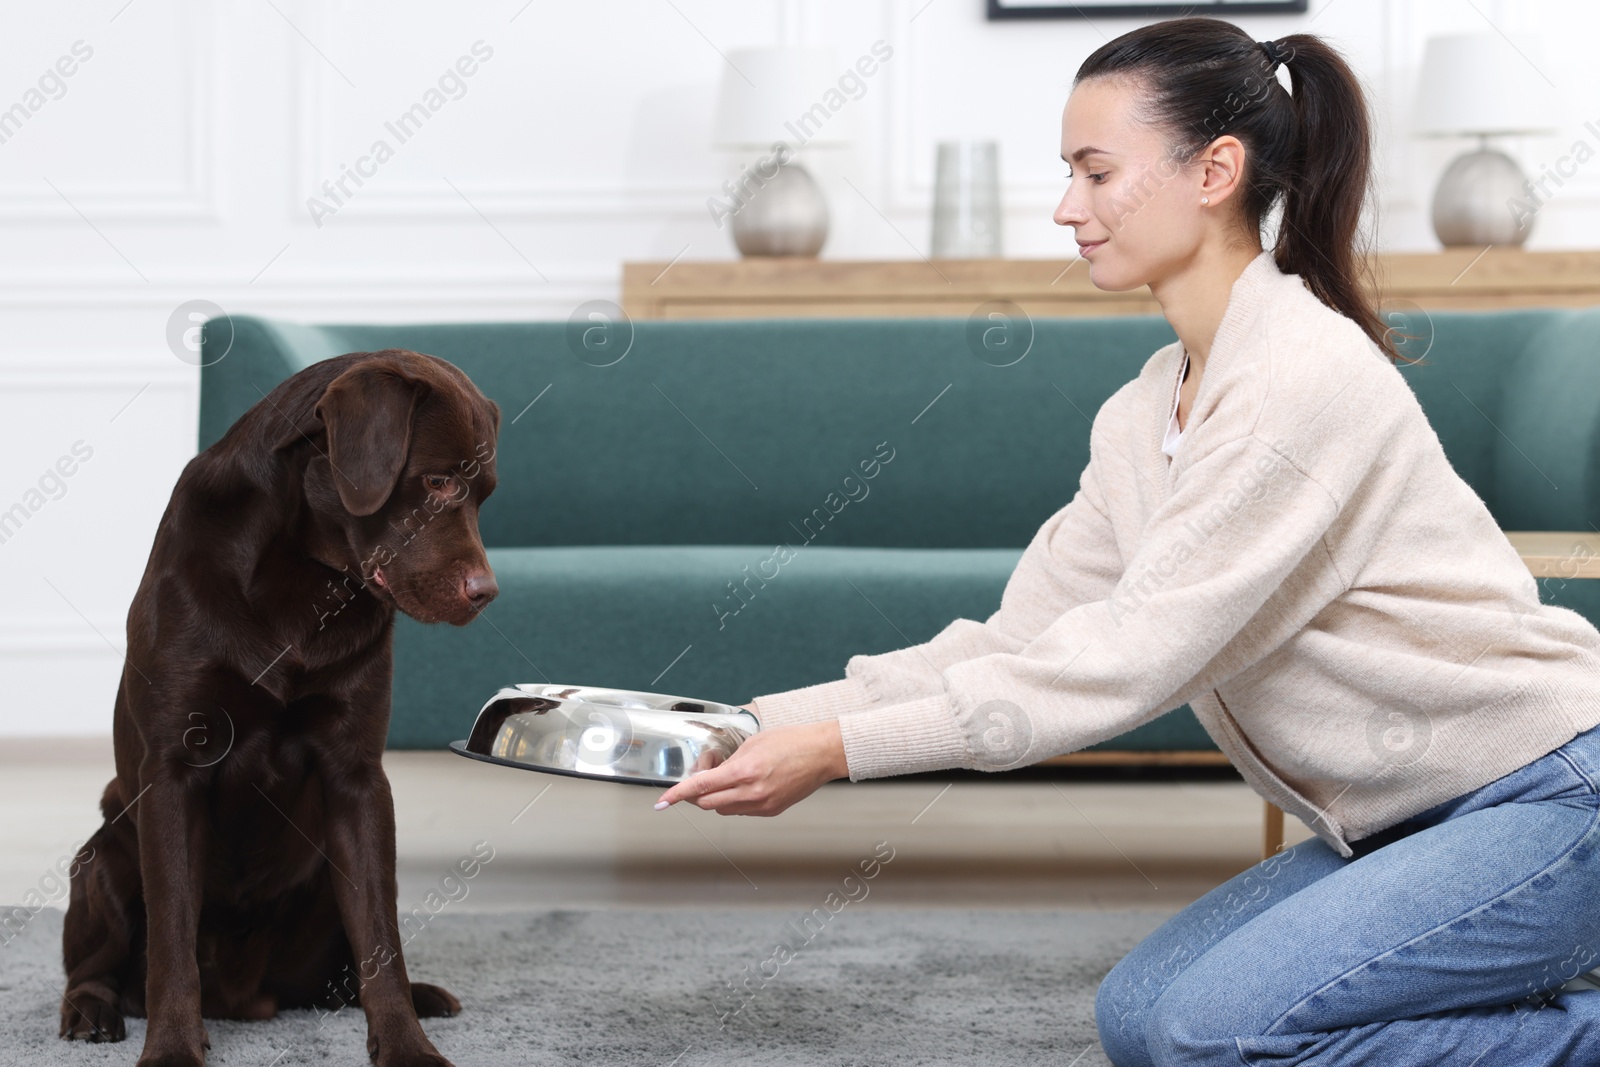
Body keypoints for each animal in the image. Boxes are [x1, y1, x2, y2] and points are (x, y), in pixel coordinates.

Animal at [59, 347, 499, 1062]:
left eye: (484, 494)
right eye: (435, 483)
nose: (487, 593)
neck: (302, 577)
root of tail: (248, 998)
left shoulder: (357, 780)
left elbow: (382, 938)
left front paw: (407, 1045)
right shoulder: (172, 774)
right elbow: (172, 941)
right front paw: (173, 1047)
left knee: (343, 968)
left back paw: (422, 997)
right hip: (103, 855)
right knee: (93, 964)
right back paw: (91, 1012)